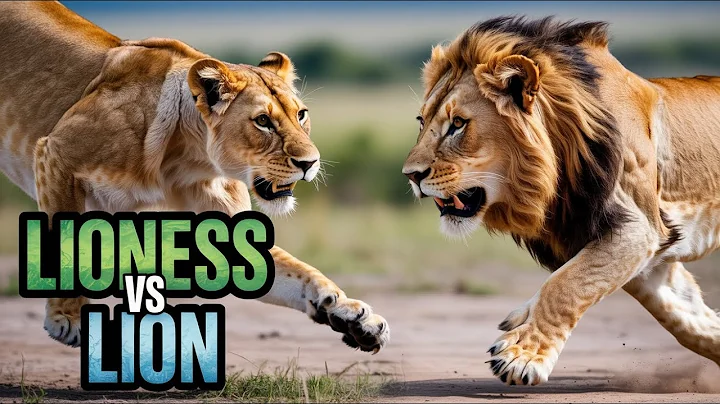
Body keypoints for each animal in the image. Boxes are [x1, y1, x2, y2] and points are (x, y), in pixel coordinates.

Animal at [0, 1, 388, 352]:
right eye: (263, 121)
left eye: (301, 114)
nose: (310, 162)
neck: (189, 161)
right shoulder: (57, 154)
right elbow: (65, 241)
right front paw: (67, 317)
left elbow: (299, 271)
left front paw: (354, 316)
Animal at [403, 16, 720, 385]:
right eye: (422, 121)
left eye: (457, 124)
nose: (410, 175)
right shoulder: (651, 257)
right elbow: (689, 322)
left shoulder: (639, 230)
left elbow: (565, 286)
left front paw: (521, 356)